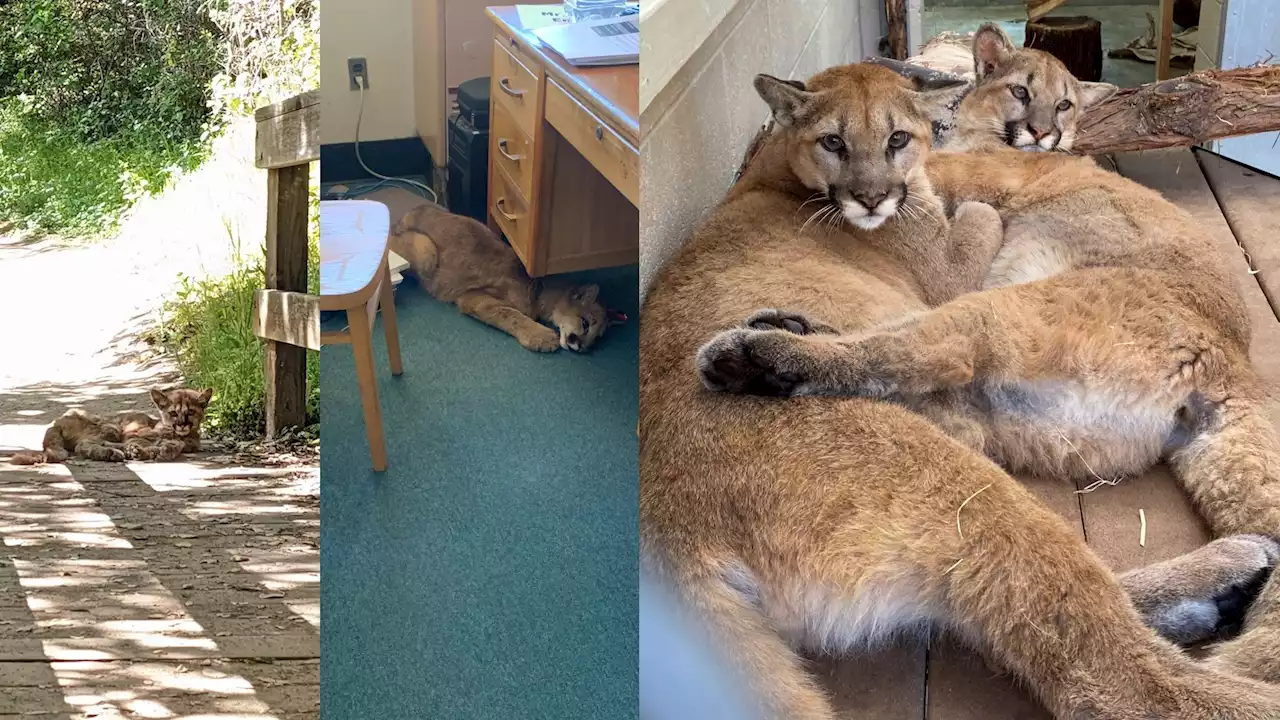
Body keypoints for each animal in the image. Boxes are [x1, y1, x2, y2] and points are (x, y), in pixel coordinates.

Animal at [11, 384, 212, 461]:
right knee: (82, 446)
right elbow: (143, 442)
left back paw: (114, 453)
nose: (182, 424)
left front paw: (158, 451)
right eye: (173, 413)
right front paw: (143, 450)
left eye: (191, 412)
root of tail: (56, 422)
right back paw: (114, 453)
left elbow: (171, 446)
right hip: (110, 426)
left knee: (84, 446)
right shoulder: (133, 433)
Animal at [391, 202, 616, 351]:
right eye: (585, 324)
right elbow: (511, 314)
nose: (584, 348)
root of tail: (408, 213)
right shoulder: (475, 298)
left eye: (597, 338)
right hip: (426, 253)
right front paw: (541, 336)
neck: (539, 290)